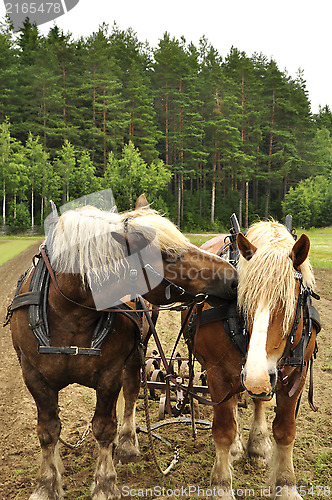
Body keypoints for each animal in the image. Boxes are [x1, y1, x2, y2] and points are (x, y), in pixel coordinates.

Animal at [9, 202, 236, 500]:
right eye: (170, 254)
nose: (233, 277)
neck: (69, 312)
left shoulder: (110, 372)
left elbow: (104, 427)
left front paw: (104, 484)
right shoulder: (34, 375)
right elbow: (48, 430)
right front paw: (47, 484)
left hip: (137, 351)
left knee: (130, 391)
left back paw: (127, 442)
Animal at [195, 223, 320, 500]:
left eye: (290, 303)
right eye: (243, 299)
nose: (256, 377)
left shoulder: (296, 374)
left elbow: (285, 430)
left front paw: (286, 485)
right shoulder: (217, 372)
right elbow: (223, 429)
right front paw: (221, 486)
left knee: (257, 400)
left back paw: (258, 444)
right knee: (232, 404)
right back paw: (235, 448)